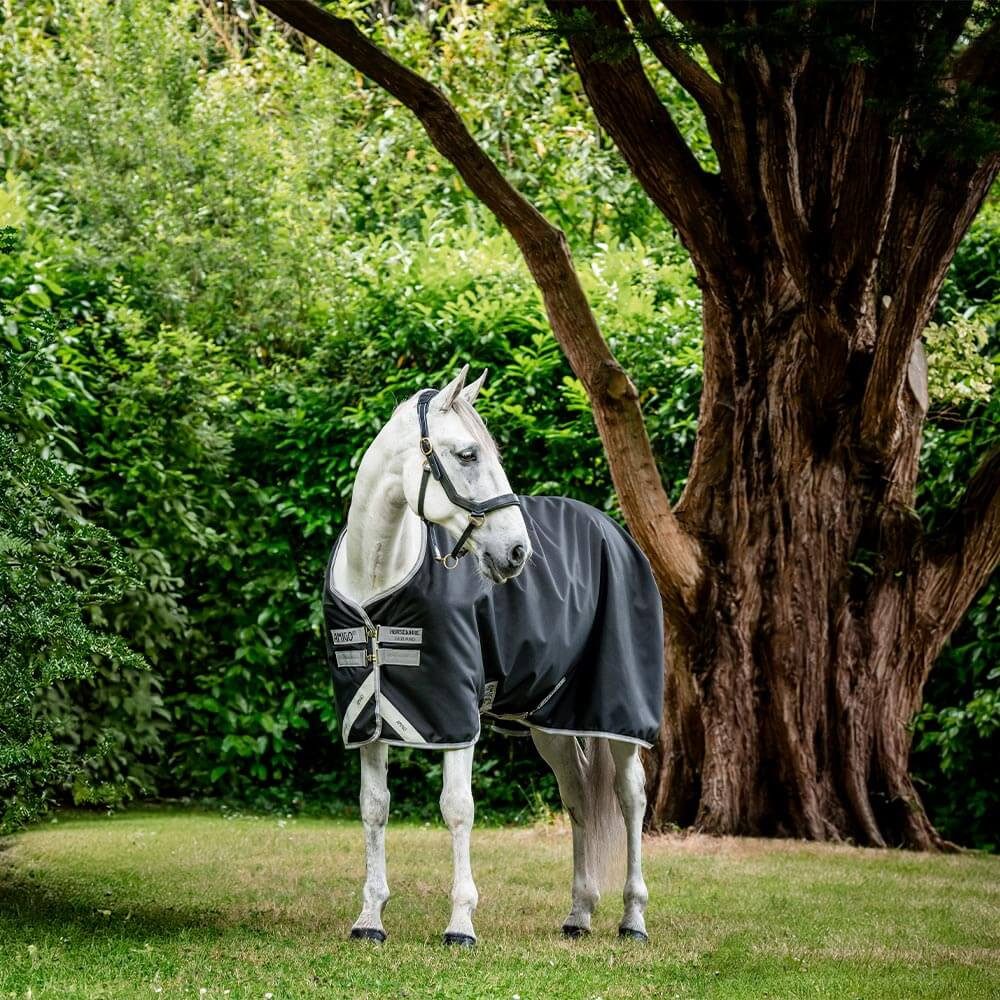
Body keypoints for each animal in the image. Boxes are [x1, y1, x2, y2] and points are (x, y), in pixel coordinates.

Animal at [323, 365, 664, 945]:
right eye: (466, 455)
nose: (518, 553)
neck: (377, 581)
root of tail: (614, 531)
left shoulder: (456, 714)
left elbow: (457, 809)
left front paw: (461, 923)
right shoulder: (368, 716)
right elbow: (374, 809)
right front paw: (369, 918)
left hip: (618, 715)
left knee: (630, 798)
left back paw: (632, 919)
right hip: (552, 722)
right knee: (579, 798)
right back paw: (579, 914)